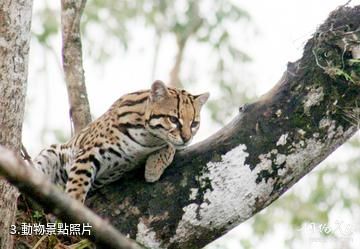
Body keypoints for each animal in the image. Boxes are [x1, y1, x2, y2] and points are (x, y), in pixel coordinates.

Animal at [34, 80, 208, 203]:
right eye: (173, 119)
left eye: (194, 124)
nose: (187, 138)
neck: (148, 139)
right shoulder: (89, 151)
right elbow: (78, 184)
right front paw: (74, 205)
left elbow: (170, 147)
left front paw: (153, 168)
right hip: (49, 156)